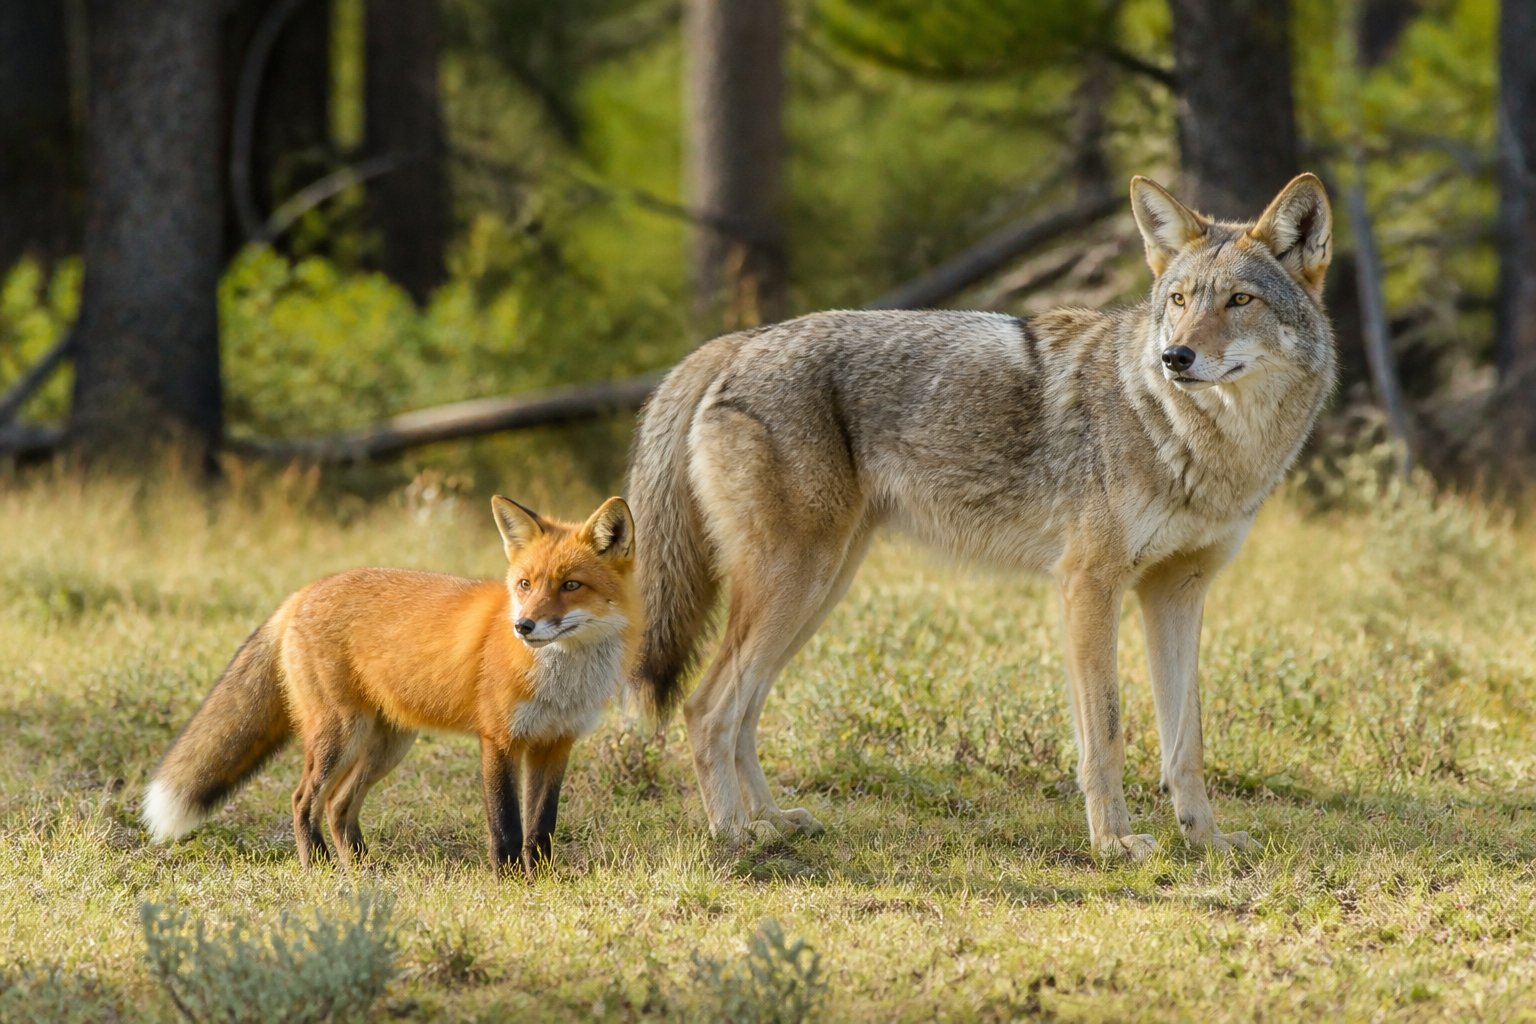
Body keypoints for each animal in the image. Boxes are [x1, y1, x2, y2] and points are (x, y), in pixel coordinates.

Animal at [142, 495, 637, 876]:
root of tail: (302, 592)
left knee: (338, 805)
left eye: (571, 585)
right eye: (525, 584)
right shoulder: (498, 740)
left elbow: (542, 825)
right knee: (304, 799)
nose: (524, 626)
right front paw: (511, 880)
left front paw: (544, 879)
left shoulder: (555, 742)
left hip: (388, 745)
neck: (561, 679)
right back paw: (320, 868)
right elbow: (506, 823)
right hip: (340, 735)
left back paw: (363, 868)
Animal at [627, 174, 1335, 860]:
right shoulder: (1088, 584)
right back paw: (733, 835)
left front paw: (1207, 839)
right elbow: (1105, 733)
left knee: (744, 711)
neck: (1202, 444)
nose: (1176, 359)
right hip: (795, 586)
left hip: (819, 592)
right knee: (706, 708)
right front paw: (1113, 841)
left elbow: (1187, 743)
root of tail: (740, 340)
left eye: (1239, 300)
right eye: (1181, 300)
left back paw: (772, 821)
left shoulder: (1177, 593)